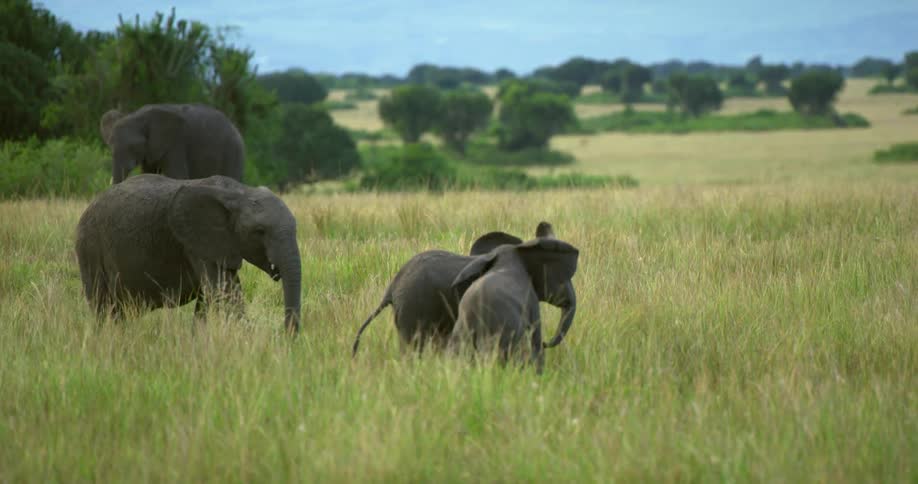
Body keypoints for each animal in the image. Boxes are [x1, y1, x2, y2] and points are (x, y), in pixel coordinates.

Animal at [75, 174, 301, 332]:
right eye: (259, 231)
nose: (287, 336)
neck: (238, 192)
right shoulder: (195, 242)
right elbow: (224, 292)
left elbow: (214, 294)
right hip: (90, 248)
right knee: (103, 307)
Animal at [100, 104, 245, 184]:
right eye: (110, 149)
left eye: (134, 147)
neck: (138, 115)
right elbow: (148, 173)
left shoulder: (176, 142)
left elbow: (178, 176)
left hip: (233, 151)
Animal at [448, 234, 580, 373]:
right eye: (563, 279)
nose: (546, 343)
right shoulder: (531, 299)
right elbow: (535, 337)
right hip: (505, 334)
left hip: (461, 334)